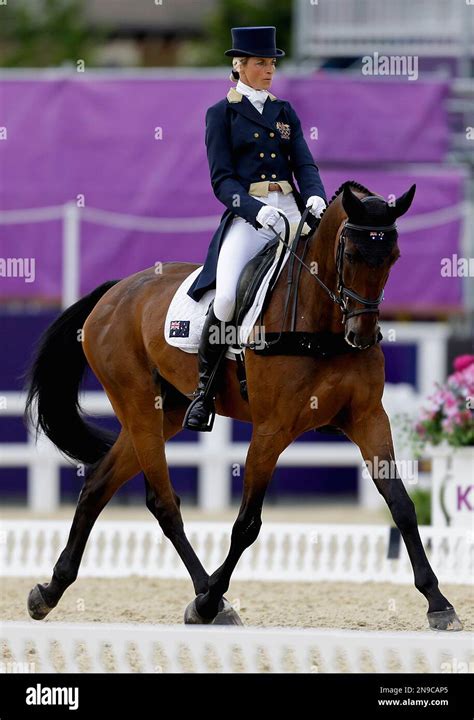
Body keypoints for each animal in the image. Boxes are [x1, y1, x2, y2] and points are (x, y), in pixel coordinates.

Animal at [25, 181, 462, 632]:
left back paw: (50, 591)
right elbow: (247, 524)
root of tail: (114, 291)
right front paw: (208, 600)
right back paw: (208, 600)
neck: (320, 325)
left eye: (393, 257)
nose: (361, 333)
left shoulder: (369, 419)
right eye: (352, 254)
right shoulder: (271, 430)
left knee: (98, 484)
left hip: (166, 413)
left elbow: (402, 506)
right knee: (163, 503)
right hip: (139, 406)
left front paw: (438, 601)